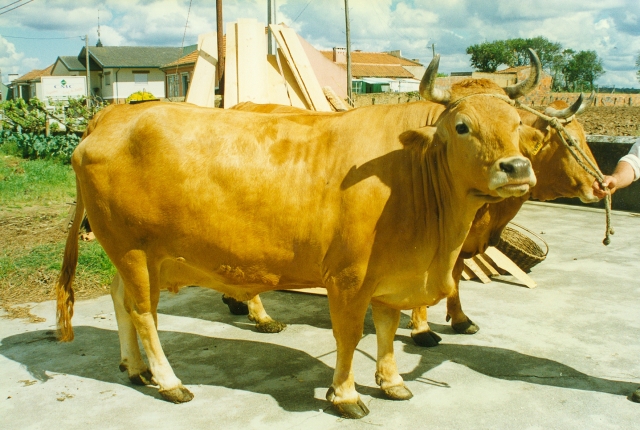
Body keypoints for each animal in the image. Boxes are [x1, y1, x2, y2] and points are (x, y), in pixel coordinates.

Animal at [57, 53, 540, 416]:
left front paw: (392, 381)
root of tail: (115, 115)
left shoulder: (390, 277)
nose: (517, 167)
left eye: (516, 123)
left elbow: (386, 332)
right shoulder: (348, 279)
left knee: (120, 298)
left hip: (134, 255)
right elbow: (349, 337)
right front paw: (345, 395)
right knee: (144, 314)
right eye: (462, 126)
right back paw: (168, 381)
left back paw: (134, 367)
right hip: (134, 251)